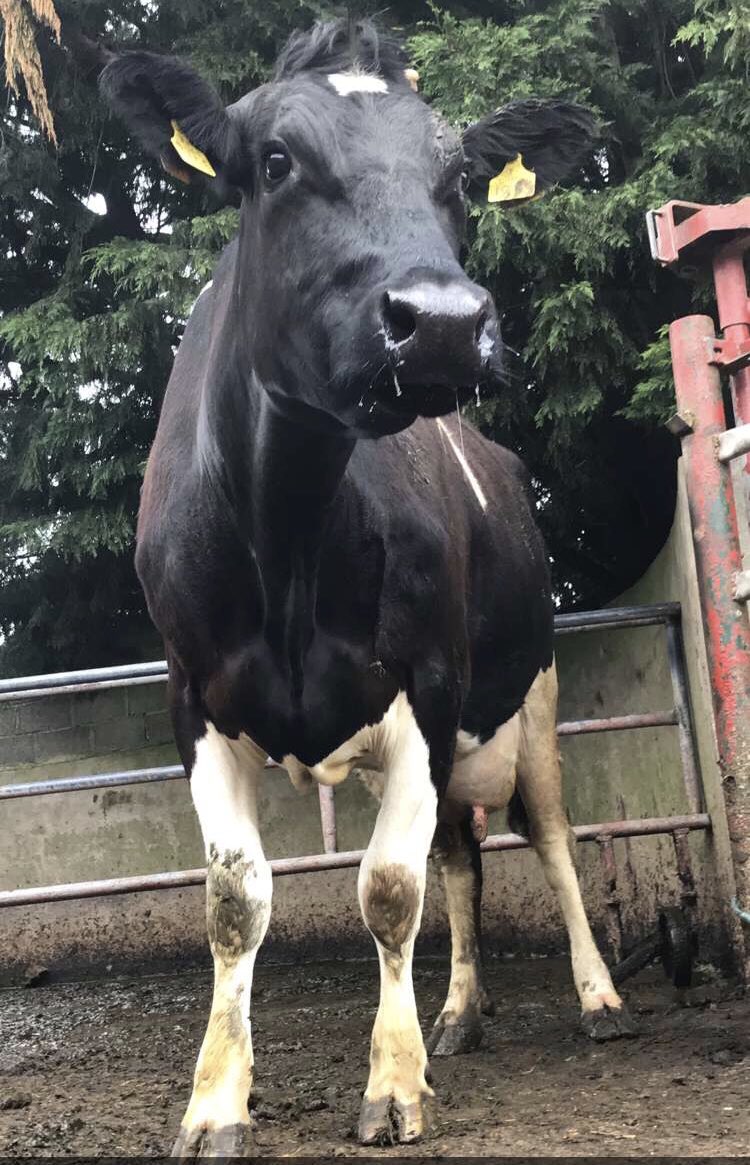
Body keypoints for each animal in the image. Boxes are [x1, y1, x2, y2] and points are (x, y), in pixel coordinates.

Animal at [100, 18, 634, 1156]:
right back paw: (461, 1014)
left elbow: (388, 890)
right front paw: (216, 1100)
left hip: (530, 696)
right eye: (274, 161)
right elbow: (235, 901)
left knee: (552, 842)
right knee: (464, 858)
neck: (291, 532)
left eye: (461, 177)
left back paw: (600, 998)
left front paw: (393, 1084)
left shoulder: (427, 689)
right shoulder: (192, 699)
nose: (442, 322)